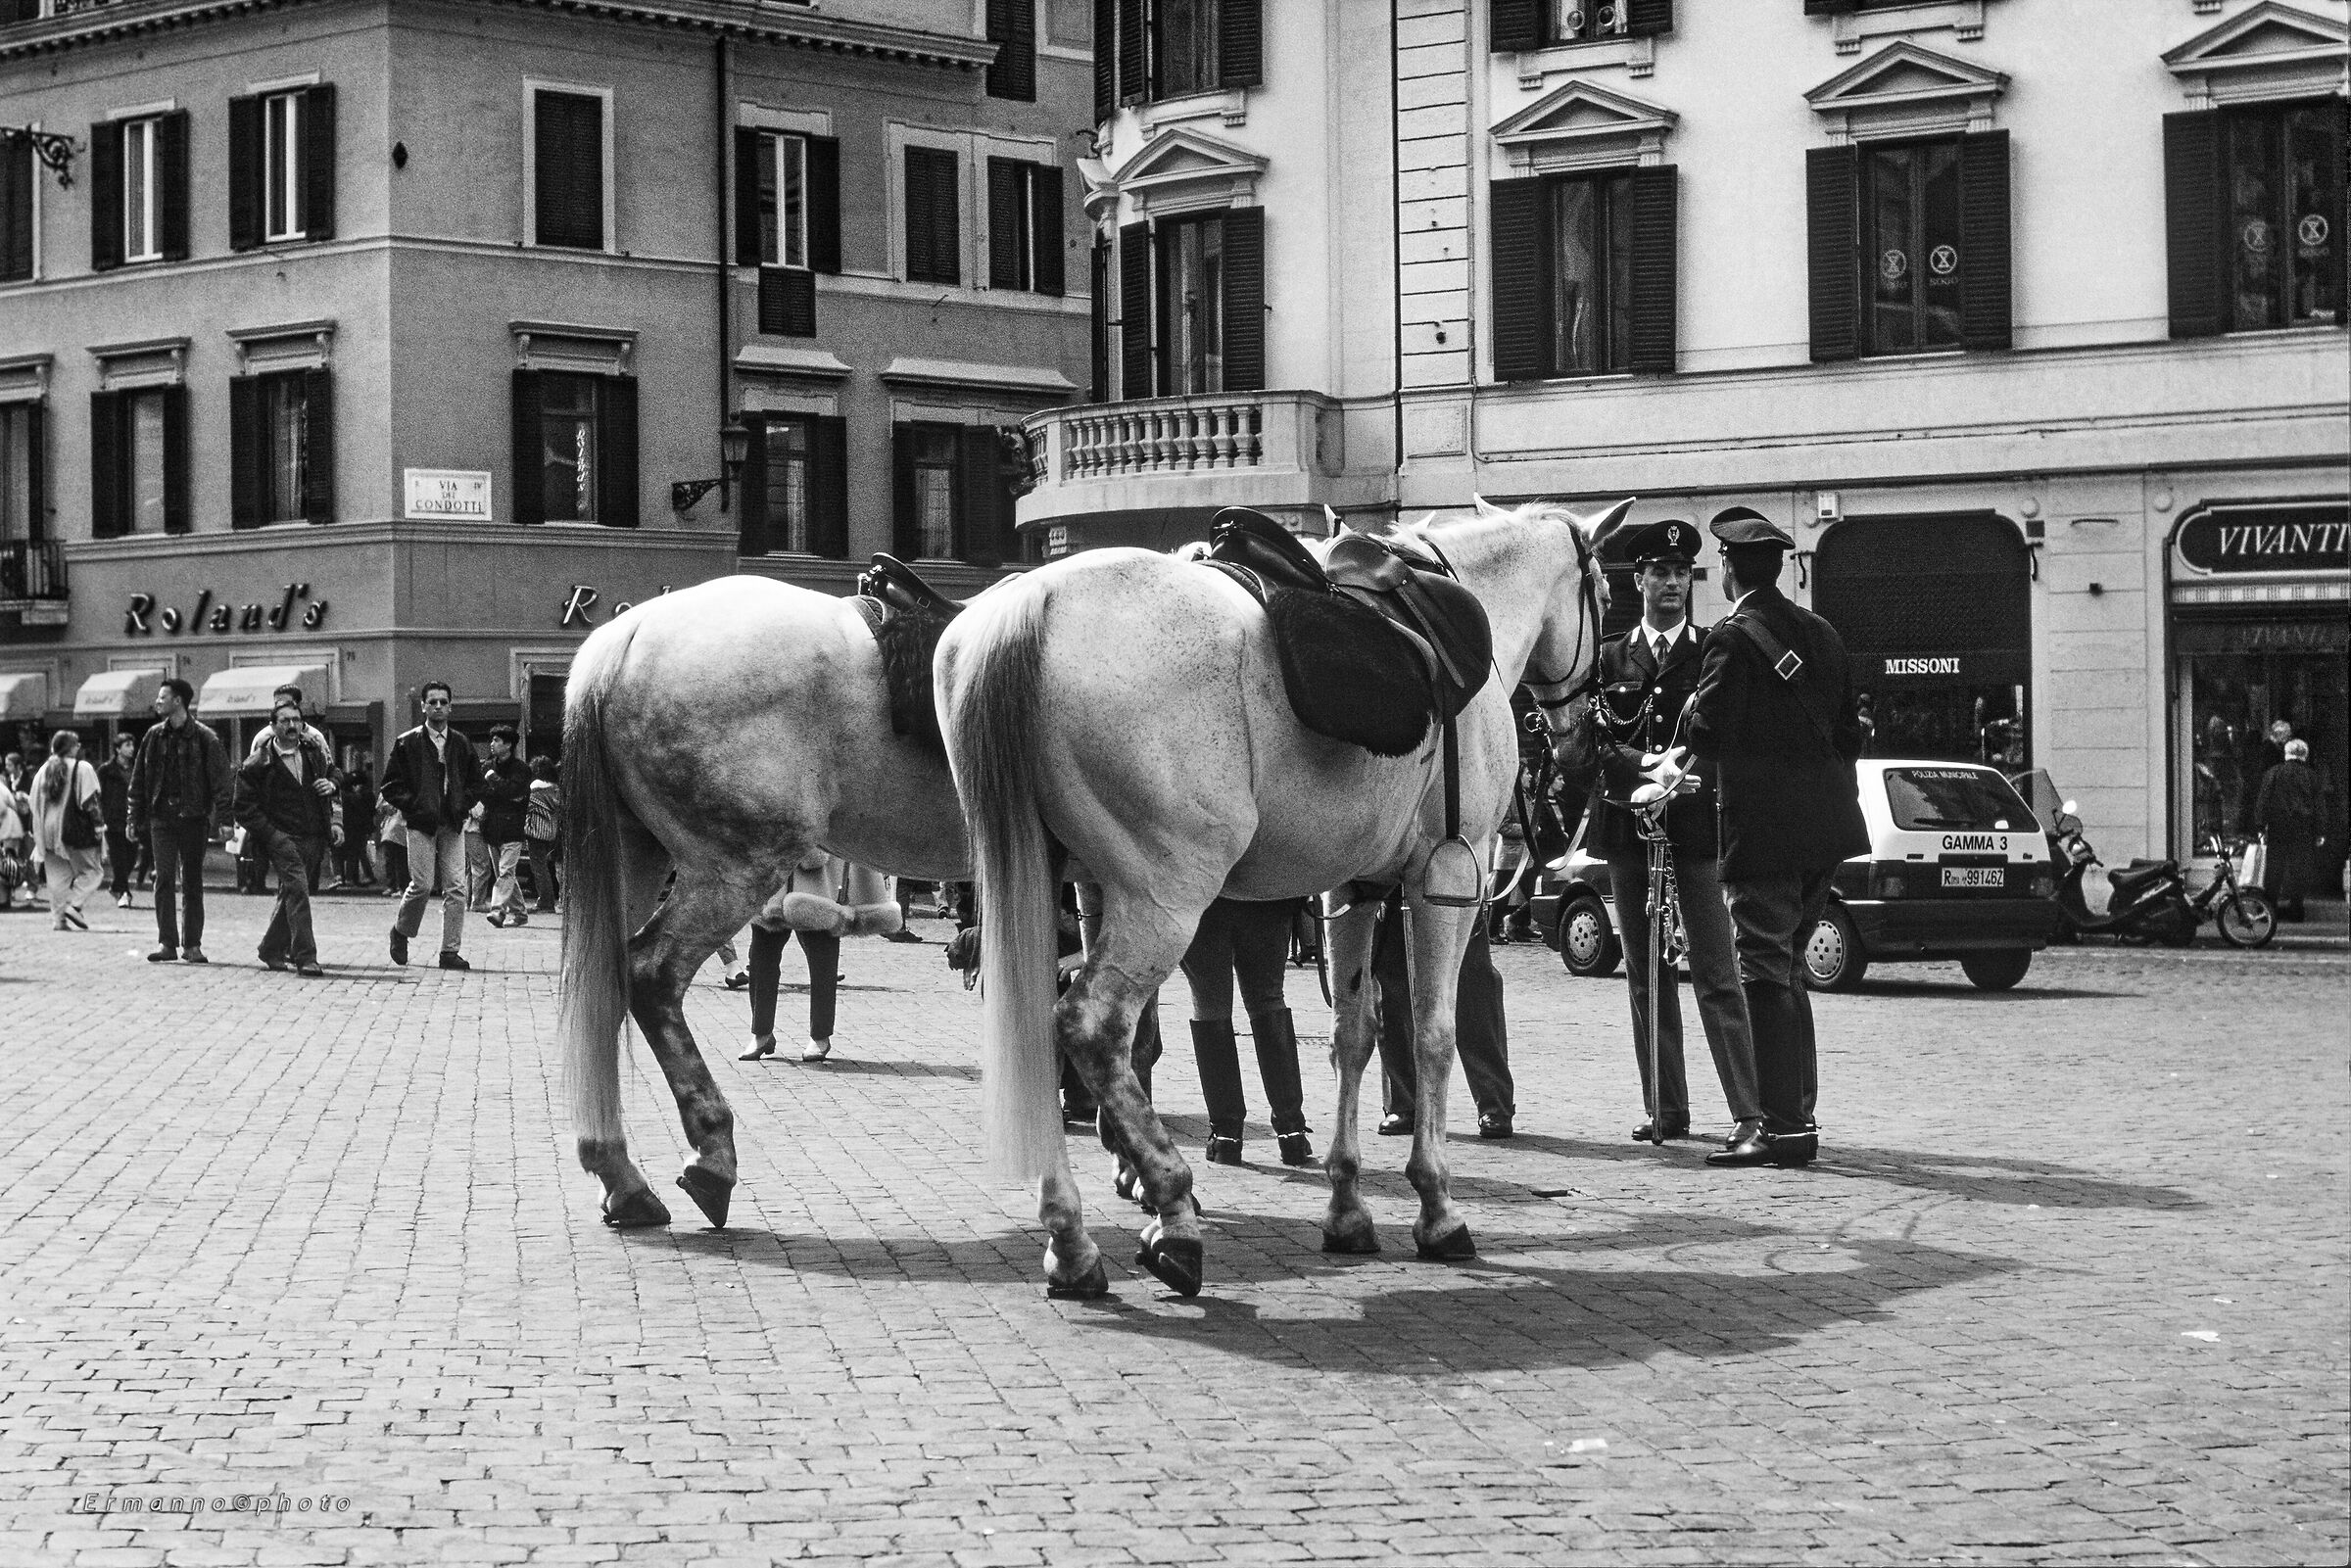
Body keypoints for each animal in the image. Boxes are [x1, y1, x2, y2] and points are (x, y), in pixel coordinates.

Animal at [559, 575, 971, 1231]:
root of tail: (625, 636)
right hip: (734, 867)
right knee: (651, 974)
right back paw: (711, 1158)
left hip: (633, 854)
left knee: (600, 982)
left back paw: (621, 1179)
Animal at [936, 496, 1627, 1299]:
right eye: (1606, 597)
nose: (1586, 738)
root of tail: (1035, 601)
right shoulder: (1446, 882)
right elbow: (1433, 1035)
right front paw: (1437, 1207)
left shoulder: (1350, 889)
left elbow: (1355, 1035)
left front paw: (1347, 1206)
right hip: (1164, 897)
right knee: (1091, 1026)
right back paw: (1171, 1212)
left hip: (1062, 888)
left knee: (1049, 1030)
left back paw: (1073, 1241)